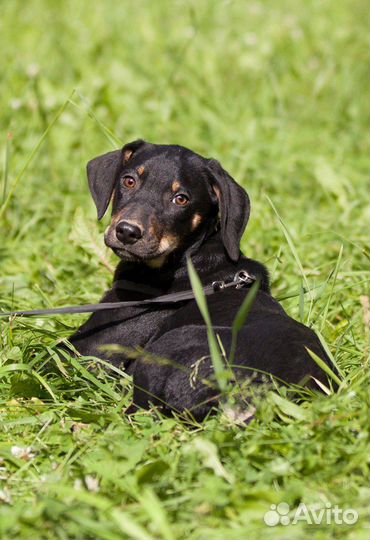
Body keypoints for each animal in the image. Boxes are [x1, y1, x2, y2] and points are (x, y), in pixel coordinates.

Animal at [69, 139, 330, 418]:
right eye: (129, 181)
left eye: (181, 199)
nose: (127, 232)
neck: (187, 260)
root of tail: (252, 391)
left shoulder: (89, 348)